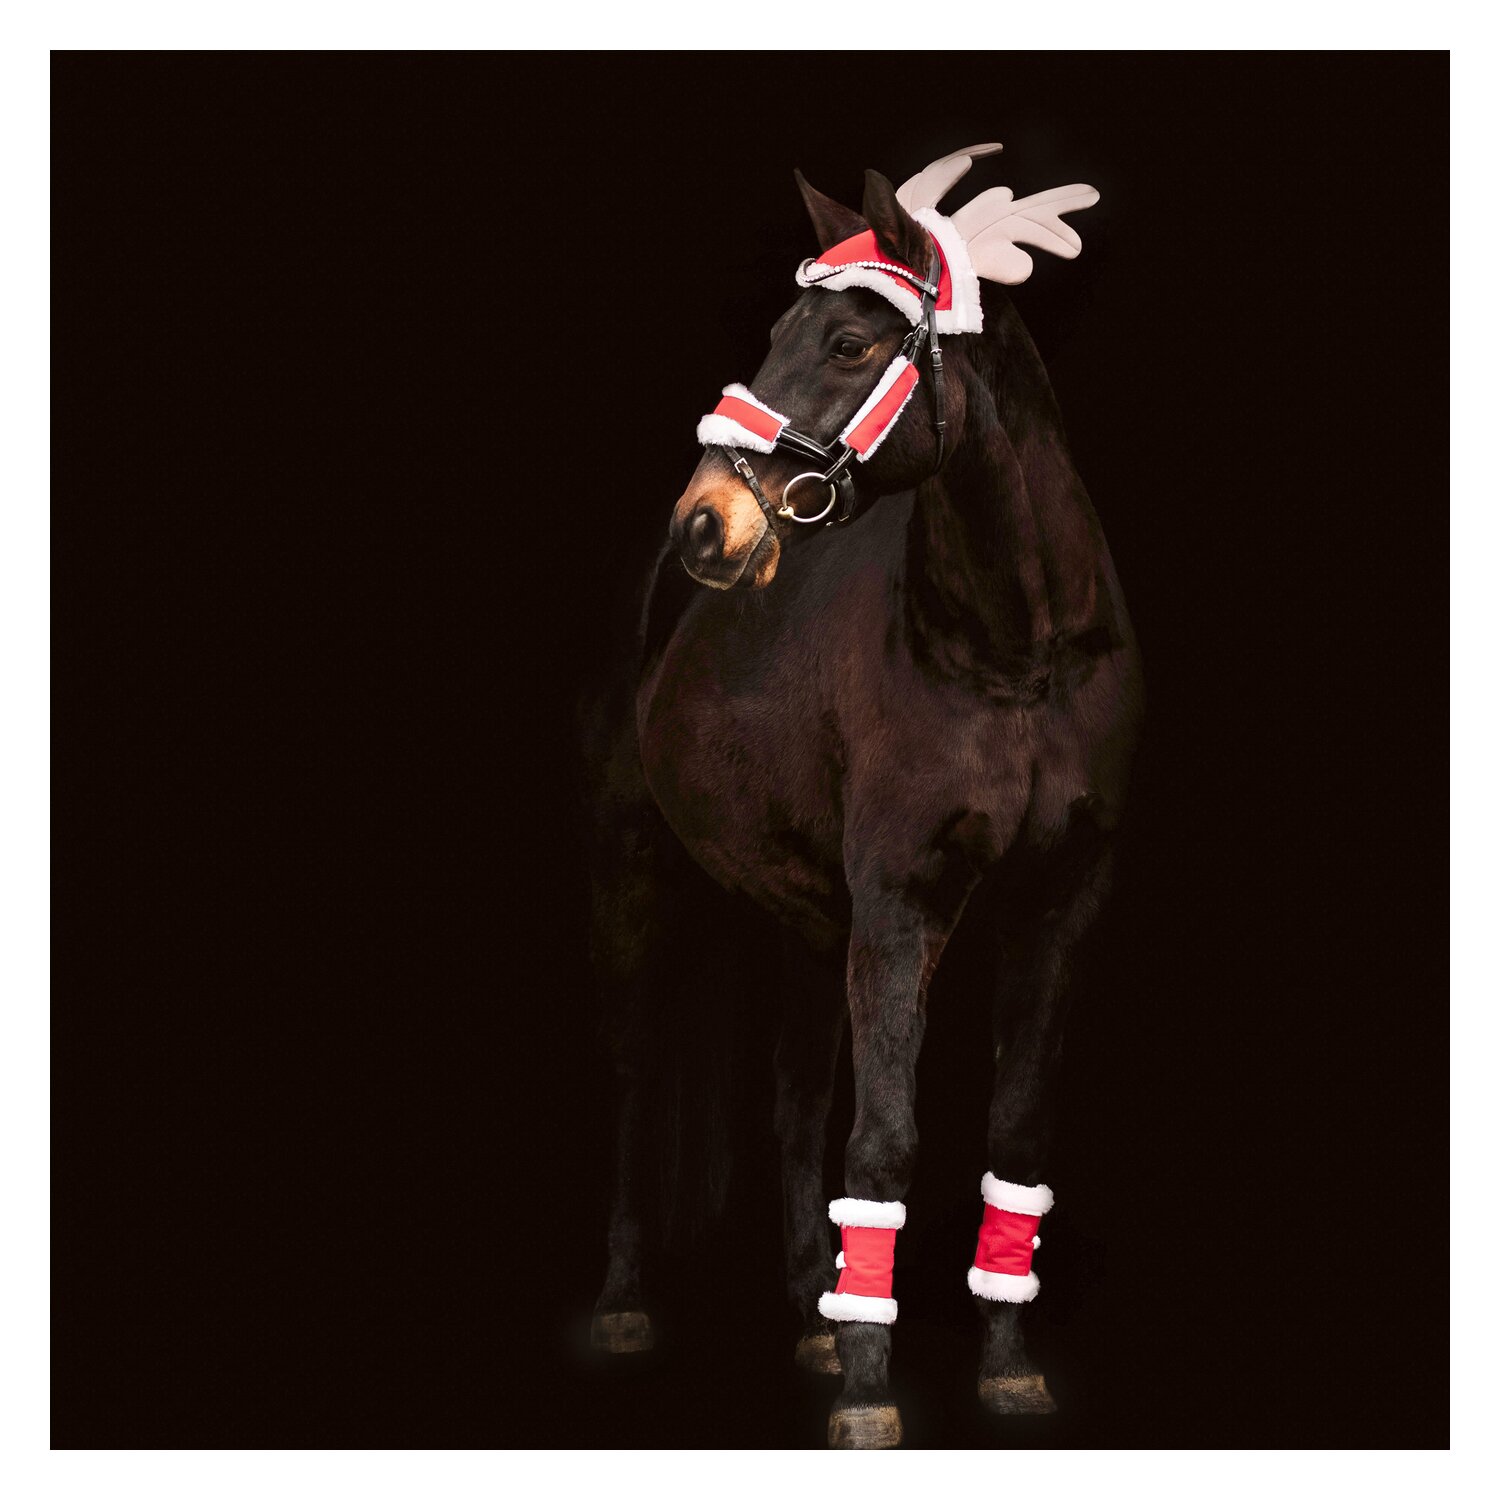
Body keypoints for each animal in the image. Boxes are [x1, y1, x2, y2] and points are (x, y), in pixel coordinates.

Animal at [579, 144, 1143, 1448]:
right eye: (777, 329)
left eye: (846, 342)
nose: (706, 523)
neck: (1015, 653)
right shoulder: (898, 907)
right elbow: (883, 1141)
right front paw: (870, 1398)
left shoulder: (1060, 904)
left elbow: (1013, 1132)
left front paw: (1005, 1369)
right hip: (637, 876)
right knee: (632, 1082)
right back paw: (628, 1304)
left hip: (805, 921)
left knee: (793, 1099)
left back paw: (807, 1313)